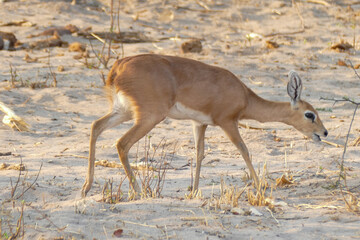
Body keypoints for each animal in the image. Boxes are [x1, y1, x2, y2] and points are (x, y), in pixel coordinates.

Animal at [81, 54, 326, 197]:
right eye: (310, 114)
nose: (323, 133)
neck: (245, 97)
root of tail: (118, 67)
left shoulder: (199, 124)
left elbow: (199, 154)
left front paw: (195, 191)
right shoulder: (228, 122)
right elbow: (244, 150)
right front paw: (260, 188)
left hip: (123, 111)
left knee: (96, 126)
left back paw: (87, 187)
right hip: (149, 117)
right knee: (121, 144)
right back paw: (139, 192)